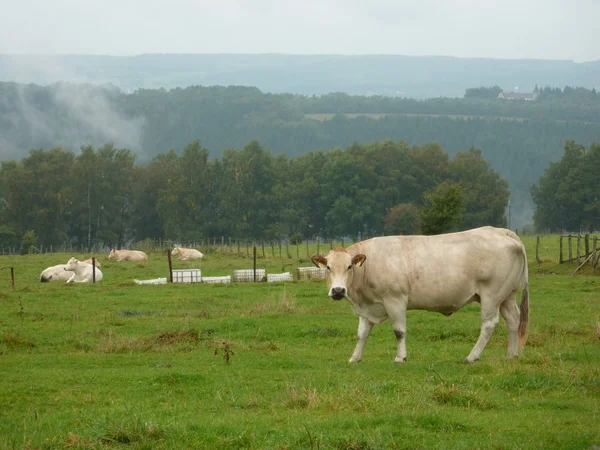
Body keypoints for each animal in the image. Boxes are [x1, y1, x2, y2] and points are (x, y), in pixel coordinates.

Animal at [312, 227, 528, 364]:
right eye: (328, 267)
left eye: (349, 266)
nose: (338, 290)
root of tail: (500, 231)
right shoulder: (368, 307)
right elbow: (362, 334)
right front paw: (355, 358)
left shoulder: (395, 300)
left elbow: (399, 331)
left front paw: (400, 357)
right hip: (507, 296)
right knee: (513, 320)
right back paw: (512, 355)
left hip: (491, 296)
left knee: (489, 324)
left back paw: (472, 357)